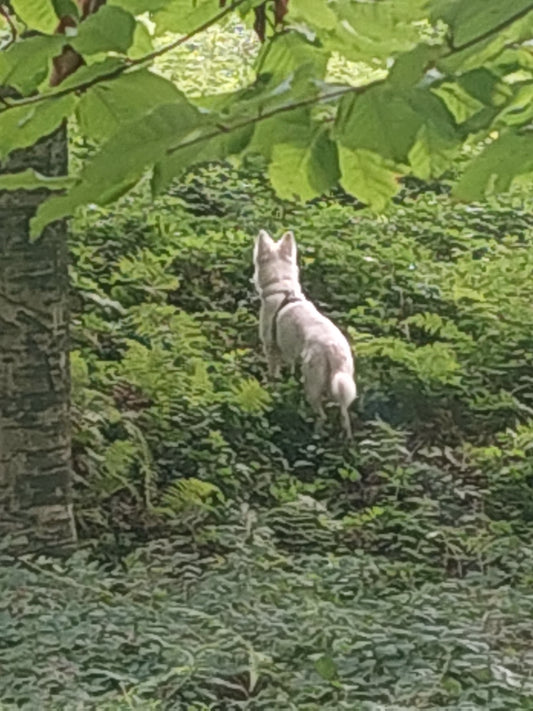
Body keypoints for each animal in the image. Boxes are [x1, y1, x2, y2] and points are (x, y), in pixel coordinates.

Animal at [252, 231, 356, 436]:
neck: (281, 289)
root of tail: (333, 349)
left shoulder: (271, 348)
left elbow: (273, 375)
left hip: (312, 383)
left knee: (321, 415)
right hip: (340, 382)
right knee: (344, 416)